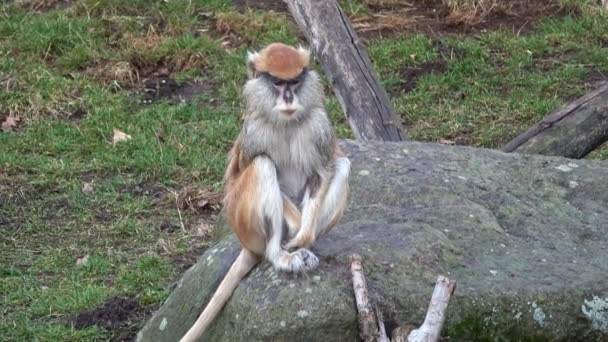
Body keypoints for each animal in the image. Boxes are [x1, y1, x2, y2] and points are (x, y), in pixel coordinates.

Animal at [179, 42, 352, 342]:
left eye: (294, 81)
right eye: (278, 83)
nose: (289, 98)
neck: (285, 122)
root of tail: (247, 245)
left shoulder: (319, 127)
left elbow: (321, 172)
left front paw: (304, 236)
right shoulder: (254, 133)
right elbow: (258, 162)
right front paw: (296, 231)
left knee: (343, 164)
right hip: (244, 222)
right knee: (262, 165)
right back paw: (280, 255)